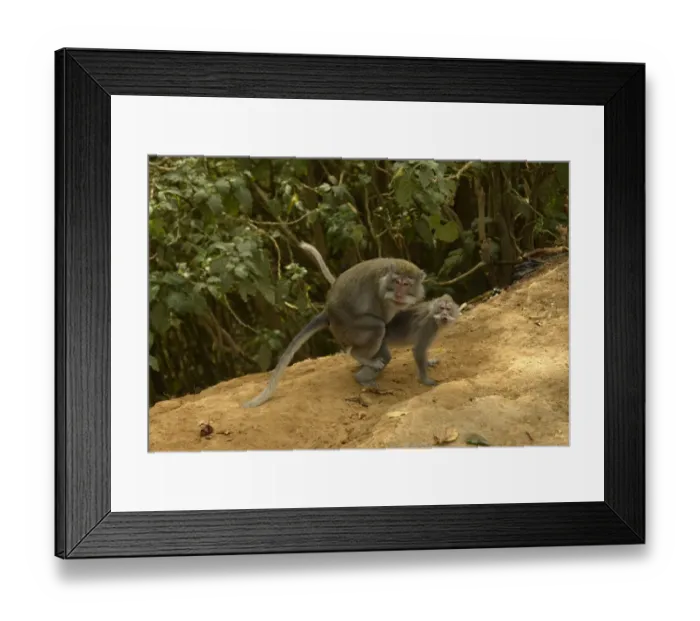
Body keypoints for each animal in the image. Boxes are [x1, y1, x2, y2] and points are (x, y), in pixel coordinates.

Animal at [241, 251, 426, 408]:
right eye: (397, 282)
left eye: (406, 284)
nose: (399, 294)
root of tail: (328, 312)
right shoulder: (382, 298)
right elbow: (386, 322)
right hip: (349, 328)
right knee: (377, 327)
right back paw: (362, 356)